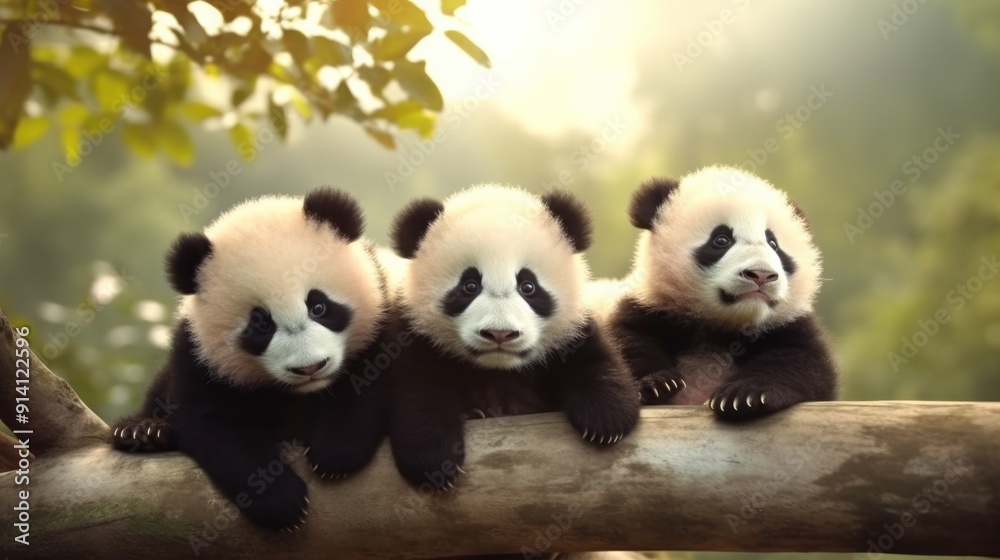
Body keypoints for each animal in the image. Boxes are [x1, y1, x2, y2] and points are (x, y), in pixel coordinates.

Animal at [111, 187, 391, 530]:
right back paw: (143, 432)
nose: (309, 368)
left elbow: (369, 383)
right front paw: (281, 502)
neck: (302, 394)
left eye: (319, 306)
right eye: (261, 324)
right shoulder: (200, 359)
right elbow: (218, 428)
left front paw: (335, 453)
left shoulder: (382, 320)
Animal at [386, 184, 640, 488]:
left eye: (527, 286)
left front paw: (607, 421)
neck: (498, 370)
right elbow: (418, 393)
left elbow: (596, 364)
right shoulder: (418, 339)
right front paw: (434, 462)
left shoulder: (572, 332)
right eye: (469, 286)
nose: (500, 333)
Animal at [604, 165, 837, 420]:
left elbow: (804, 364)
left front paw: (744, 394)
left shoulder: (790, 324)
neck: (722, 323)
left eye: (774, 244)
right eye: (722, 239)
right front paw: (655, 383)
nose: (760, 274)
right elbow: (628, 343)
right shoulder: (650, 306)